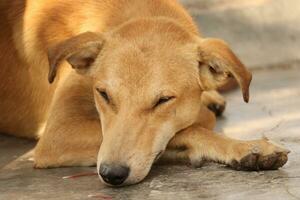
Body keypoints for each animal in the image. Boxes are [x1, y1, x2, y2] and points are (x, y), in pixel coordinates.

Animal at [0, 0, 290, 186]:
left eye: (163, 100)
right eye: (103, 94)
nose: (111, 174)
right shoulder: (58, 134)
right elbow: (193, 127)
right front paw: (245, 147)